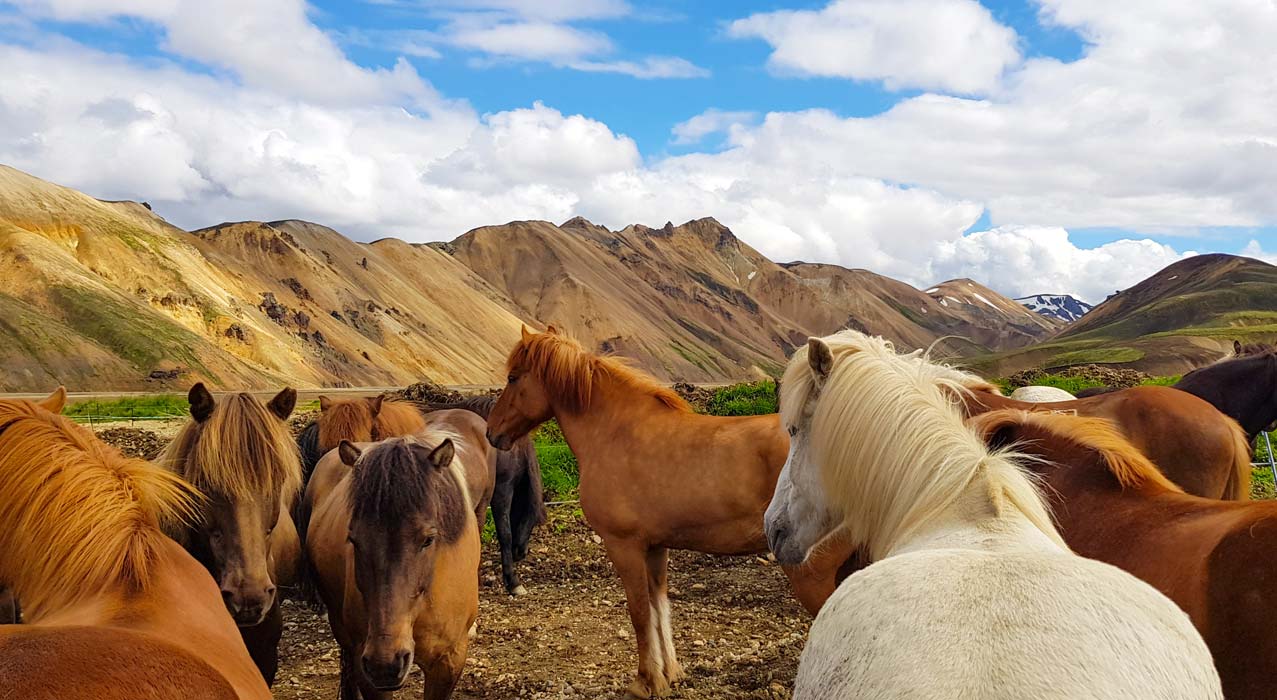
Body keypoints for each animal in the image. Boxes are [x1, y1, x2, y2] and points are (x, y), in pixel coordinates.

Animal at [485, 327, 847, 700]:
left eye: (513, 377)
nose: (491, 432)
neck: (615, 431)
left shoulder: (624, 546)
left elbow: (639, 612)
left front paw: (644, 680)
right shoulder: (656, 548)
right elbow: (659, 607)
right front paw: (668, 673)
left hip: (815, 575)